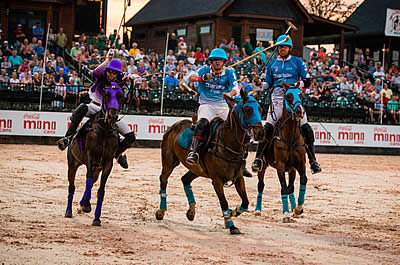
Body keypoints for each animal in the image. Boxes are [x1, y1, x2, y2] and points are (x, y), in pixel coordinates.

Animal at [63, 84, 125, 225]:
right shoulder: (90, 156)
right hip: (72, 163)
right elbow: (88, 177)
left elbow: (101, 189)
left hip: (98, 168)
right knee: (72, 186)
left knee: (91, 183)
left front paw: (96, 217)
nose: (112, 116)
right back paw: (69, 211)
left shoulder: (107, 162)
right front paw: (86, 205)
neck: (105, 129)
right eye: (107, 94)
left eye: (121, 95)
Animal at [156, 89, 266, 233]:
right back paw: (161, 211)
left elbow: (245, 202)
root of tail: (174, 125)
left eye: (260, 109)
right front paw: (231, 225)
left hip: (196, 169)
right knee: (163, 179)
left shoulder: (238, 177)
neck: (228, 144)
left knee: (185, 179)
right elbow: (224, 202)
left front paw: (232, 213)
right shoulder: (217, 180)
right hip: (169, 160)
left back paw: (191, 212)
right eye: (248, 109)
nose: (260, 133)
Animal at [255, 81, 308, 222]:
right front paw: (286, 214)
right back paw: (257, 210)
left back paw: (294, 208)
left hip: (292, 170)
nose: (299, 111)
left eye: (300, 94)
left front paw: (298, 209)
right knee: (261, 185)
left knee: (291, 187)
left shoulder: (299, 164)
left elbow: (302, 180)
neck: (290, 138)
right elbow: (283, 188)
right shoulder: (280, 166)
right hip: (263, 166)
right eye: (288, 96)